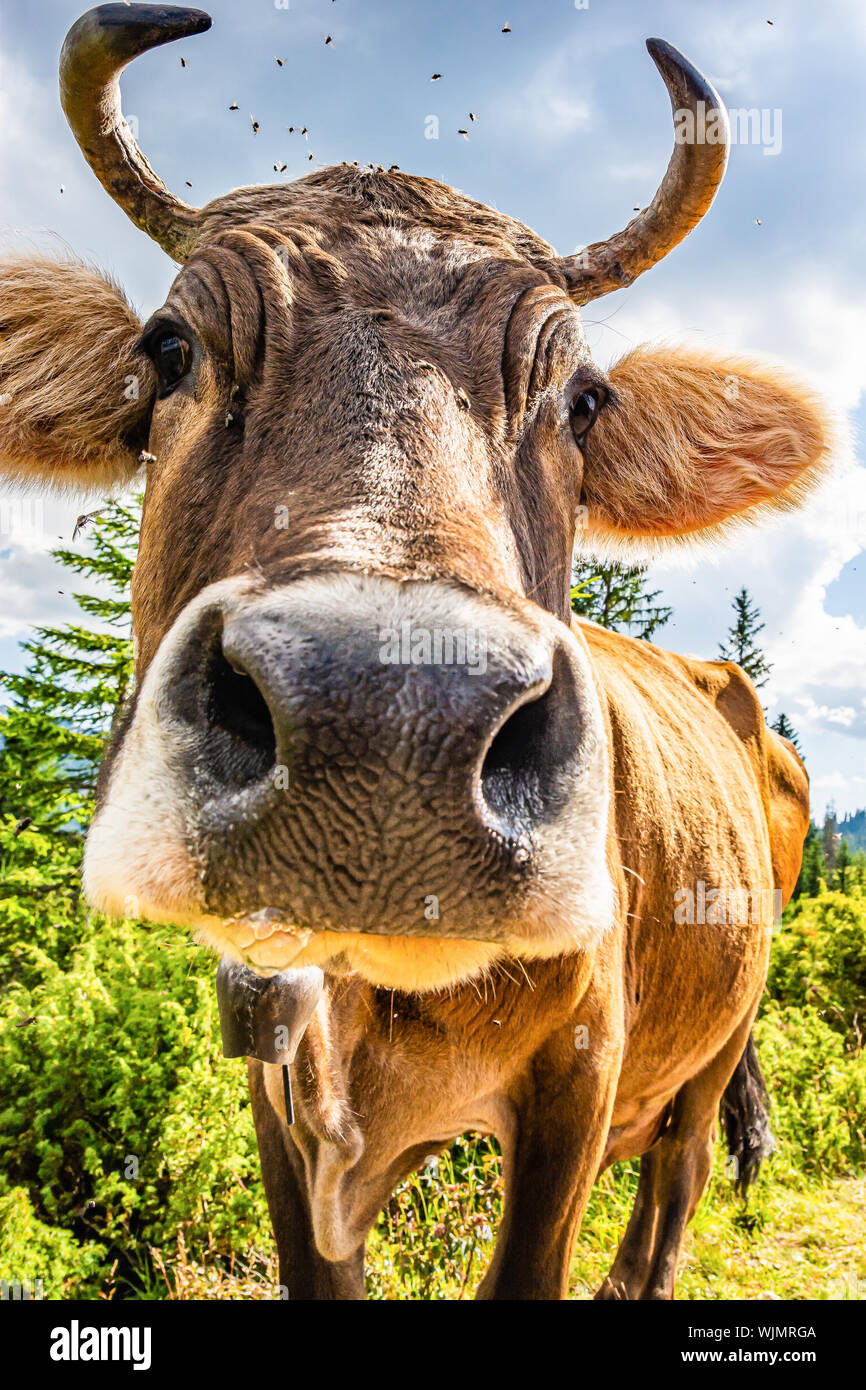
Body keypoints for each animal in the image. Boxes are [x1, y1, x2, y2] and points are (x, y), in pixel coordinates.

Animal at [0, 5, 828, 1299]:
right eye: (171, 347)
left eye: (582, 400)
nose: (387, 726)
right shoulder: (275, 1085)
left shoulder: (581, 1067)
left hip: (717, 1033)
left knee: (673, 1184)